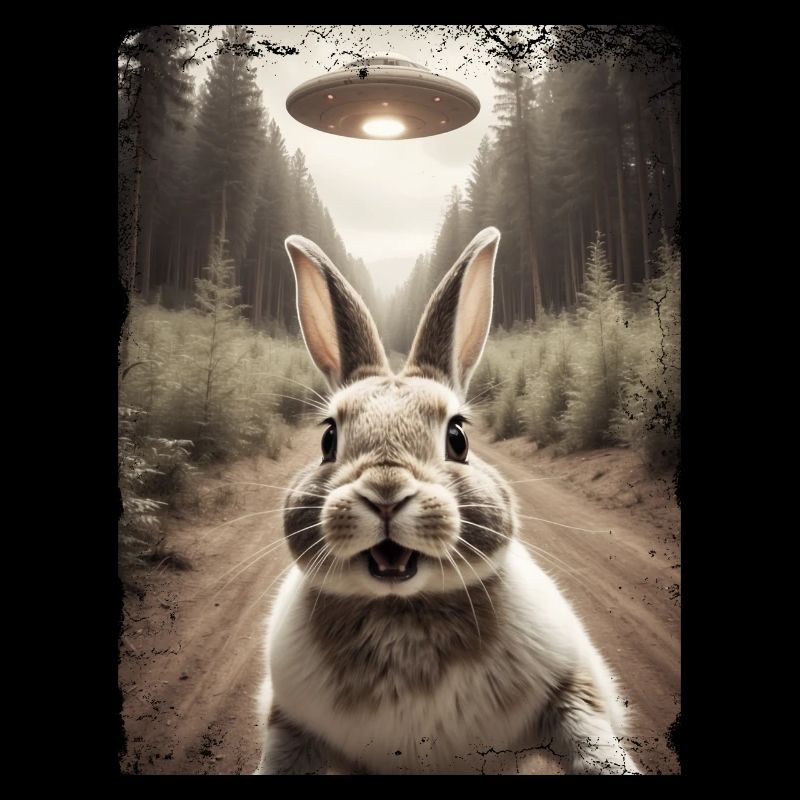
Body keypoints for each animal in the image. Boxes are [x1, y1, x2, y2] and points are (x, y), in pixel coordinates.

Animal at [253, 227, 641, 775]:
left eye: (458, 437)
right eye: (328, 439)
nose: (386, 494)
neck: (402, 612)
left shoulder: (572, 686)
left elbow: (593, 741)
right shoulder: (290, 721)